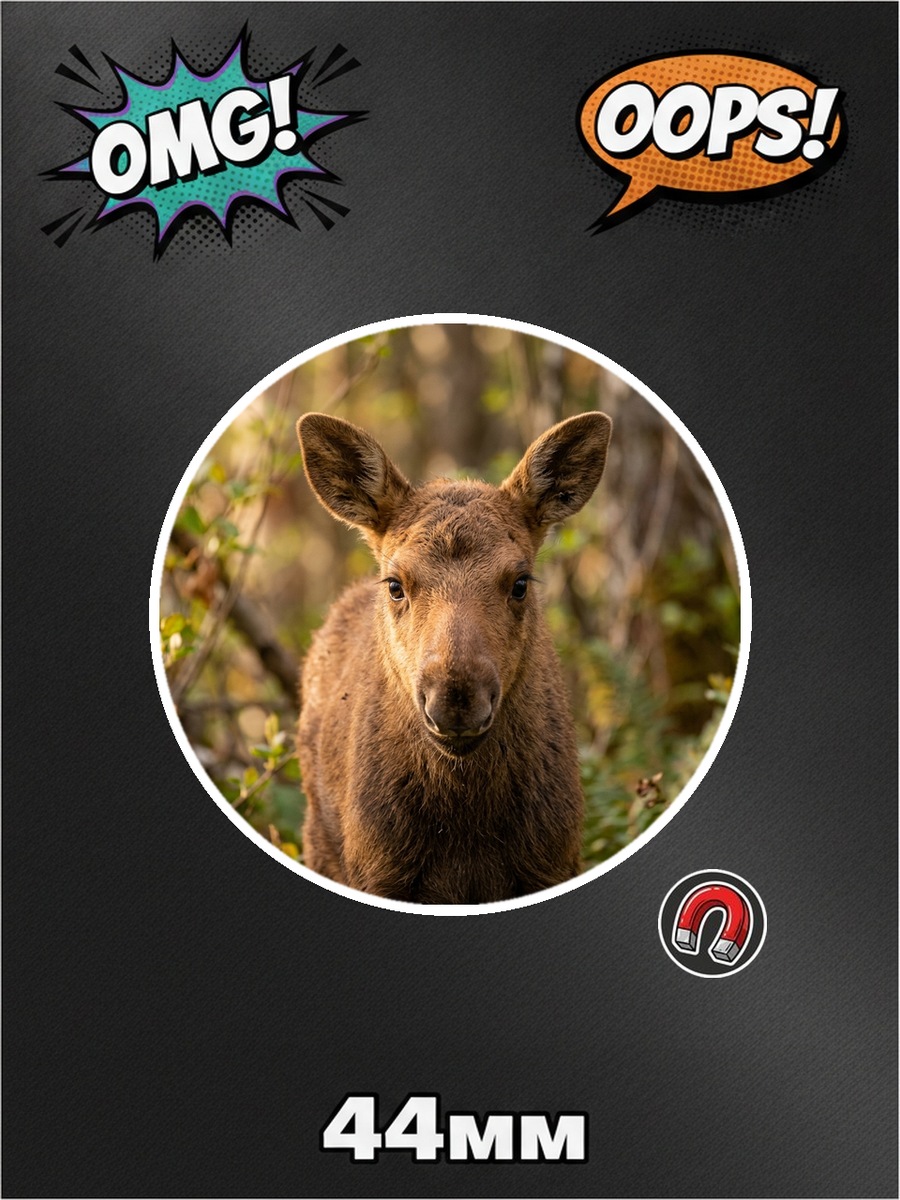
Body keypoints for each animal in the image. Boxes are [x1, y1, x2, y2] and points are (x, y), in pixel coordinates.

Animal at [295, 409, 612, 904]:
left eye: (520, 582)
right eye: (395, 584)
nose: (456, 698)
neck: (465, 829)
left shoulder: (553, 861)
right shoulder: (378, 872)